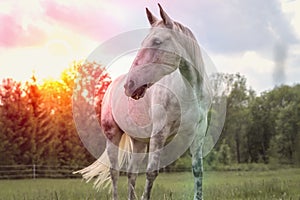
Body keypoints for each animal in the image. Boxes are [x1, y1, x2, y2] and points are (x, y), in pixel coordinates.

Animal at [77, 3, 213, 200]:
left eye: (157, 42)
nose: (130, 85)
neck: (190, 92)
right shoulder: (159, 133)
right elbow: (151, 172)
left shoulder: (198, 132)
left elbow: (197, 170)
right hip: (113, 137)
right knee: (115, 172)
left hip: (139, 143)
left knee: (131, 174)